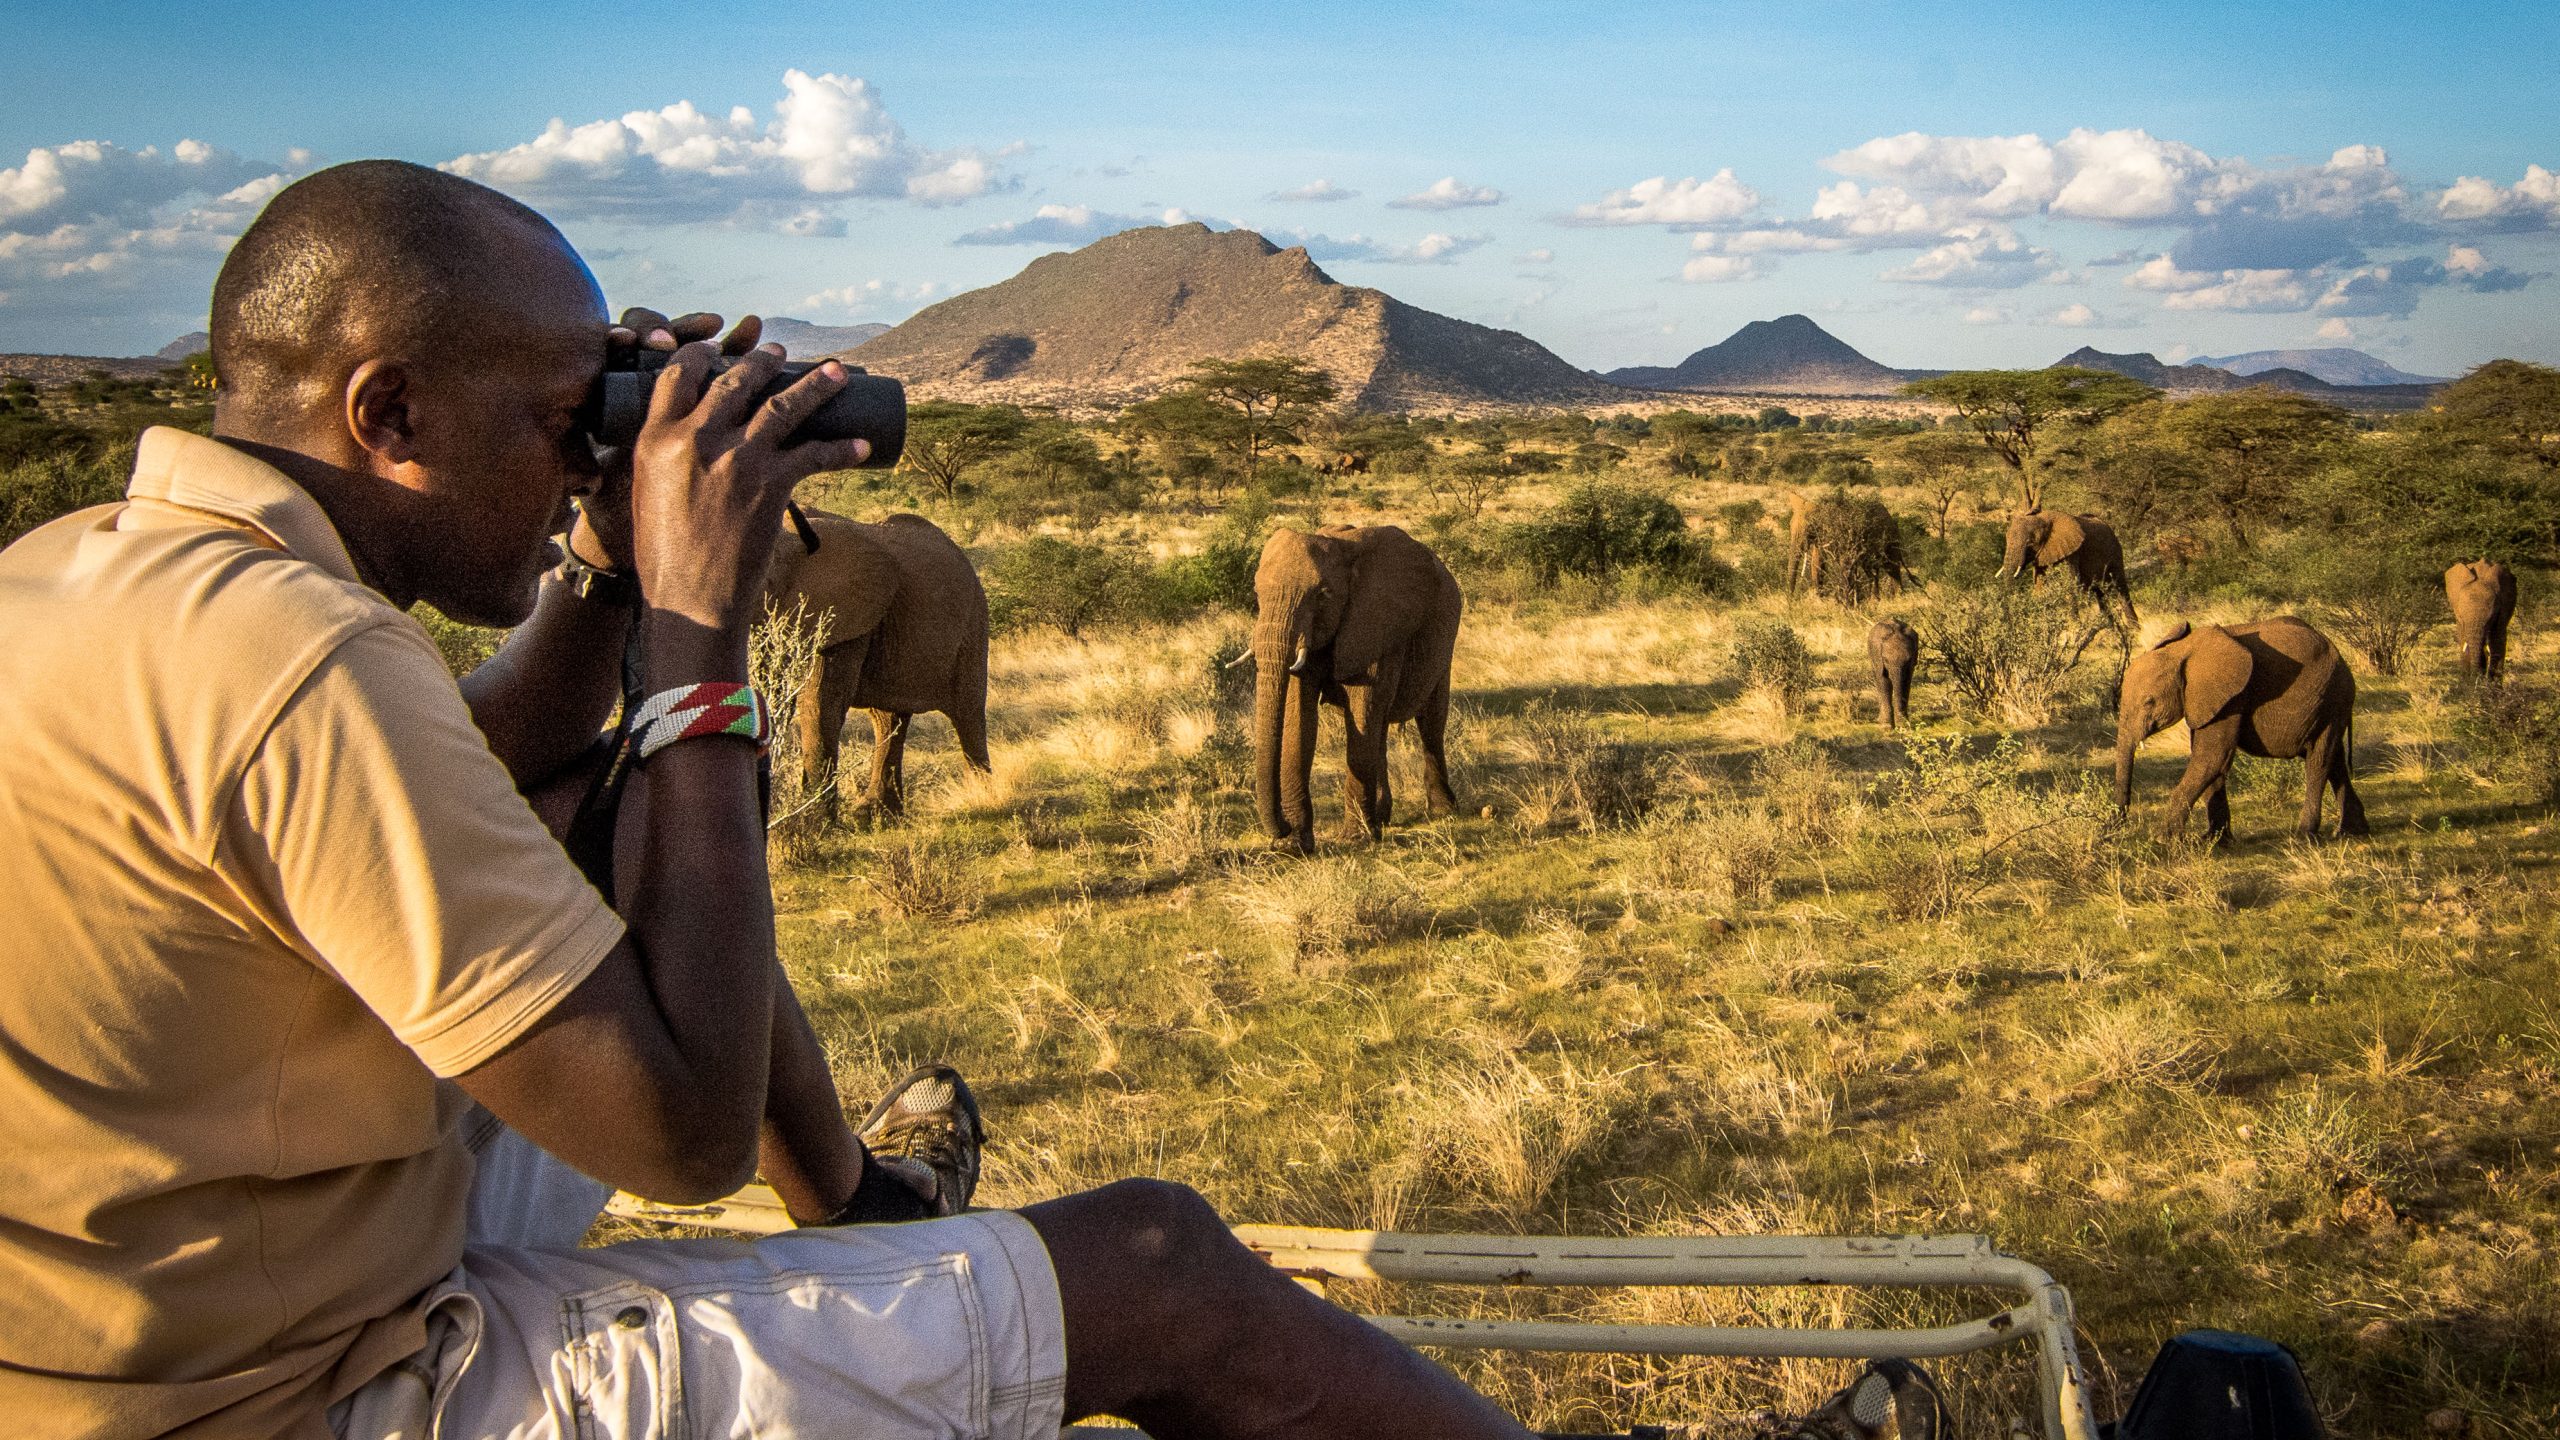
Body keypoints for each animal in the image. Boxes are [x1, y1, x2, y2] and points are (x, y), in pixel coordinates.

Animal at [760, 508, 992, 814]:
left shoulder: (847, 617)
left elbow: (819, 704)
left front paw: (811, 821)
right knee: (888, 719)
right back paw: (875, 814)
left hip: (973, 624)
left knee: (968, 714)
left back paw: (984, 796)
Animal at [1251, 525, 1461, 854]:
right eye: (1257, 594)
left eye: (1323, 596)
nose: (1281, 830)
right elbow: (1300, 718)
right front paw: (1296, 844)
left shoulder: (1375, 624)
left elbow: (1363, 709)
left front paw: (1356, 839)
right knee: (1381, 728)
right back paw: (1382, 818)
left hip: (1444, 640)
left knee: (1431, 721)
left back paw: (1442, 811)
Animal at [2001, 508, 2137, 623]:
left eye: (2030, 543)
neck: (2044, 518)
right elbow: (2040, 587)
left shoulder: (2071, 553)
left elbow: (2070, 585)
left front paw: (2074, 627)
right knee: (2099, 594)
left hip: (2115, 552)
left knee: (2121, 588)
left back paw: (2134, 629)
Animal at [2114, 617, 2367, 842]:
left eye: (2149, 702)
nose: (2119, 827)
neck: (2184, 650)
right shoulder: (2208, 704)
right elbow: (2212, 761)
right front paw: (2214, 840)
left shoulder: (2232, 697)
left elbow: (2211, 757)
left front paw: (2161, 839)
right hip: (2330, 704)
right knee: (2335, 761)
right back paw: (2350, 832)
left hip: (2332, 698)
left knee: (2318, 761)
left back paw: (2303, 837)